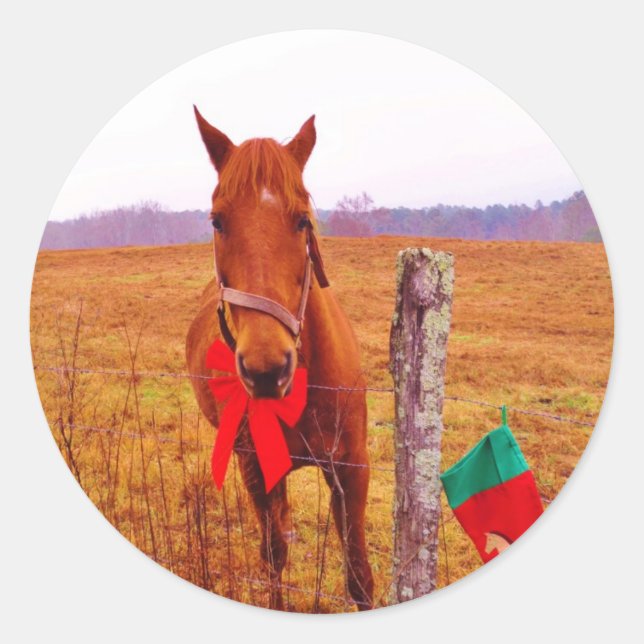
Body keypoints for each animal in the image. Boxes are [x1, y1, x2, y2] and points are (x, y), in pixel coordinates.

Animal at [186, 107, 374, 610]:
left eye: (303, 220)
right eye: (217, 221)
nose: (267, 370)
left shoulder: (353, 468)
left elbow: (359, 575)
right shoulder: (256, 469)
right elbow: (274, 557)